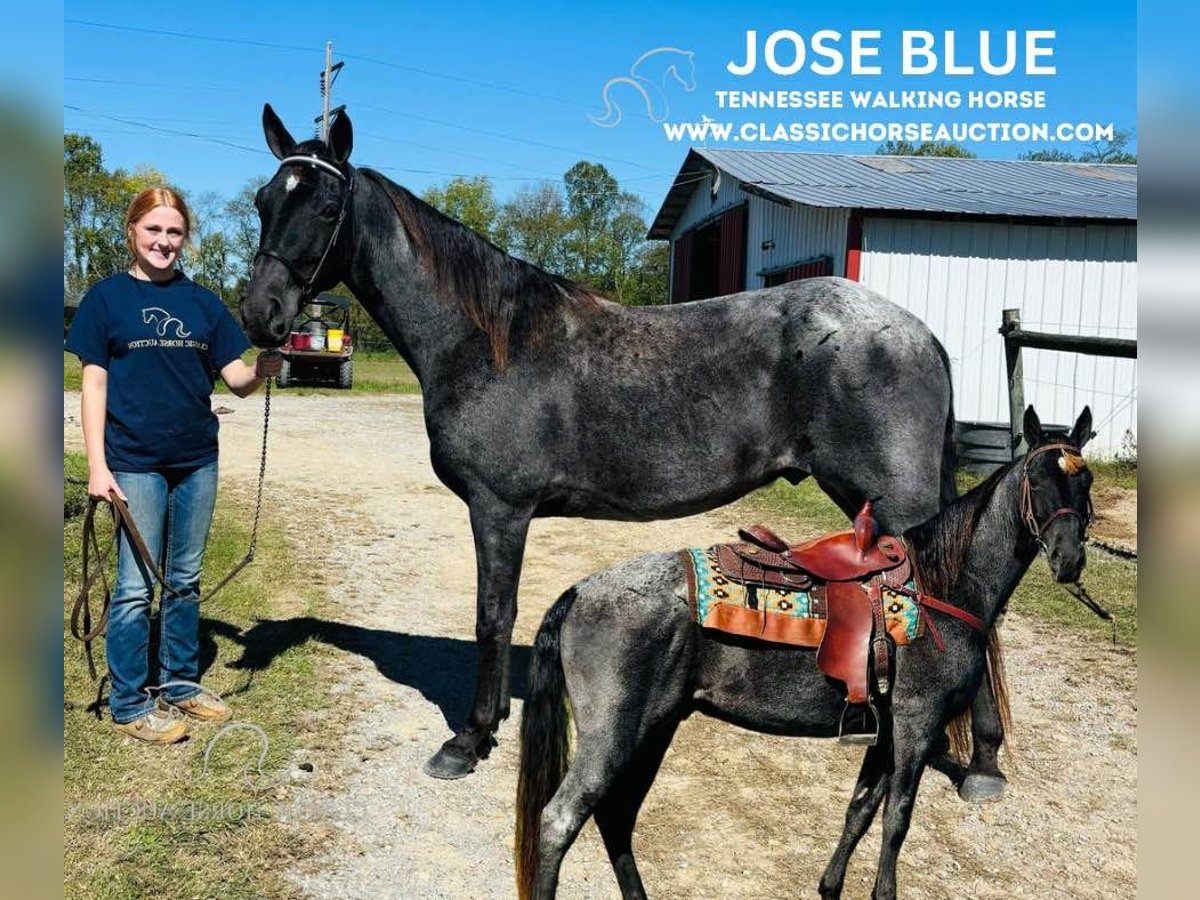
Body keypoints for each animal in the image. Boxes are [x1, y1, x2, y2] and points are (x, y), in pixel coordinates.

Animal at [241, 102, 1003, 787]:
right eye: (262, 201)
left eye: (327, 206)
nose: (260, 314)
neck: (486, 341)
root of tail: (917, 331)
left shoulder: (499, 508)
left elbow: (493, 615)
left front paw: (470, 739)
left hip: (896, 503)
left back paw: (977, 761)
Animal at [516, 410, 1099, 900]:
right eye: (1037, 480)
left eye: (1085, 482)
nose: (1069, 559)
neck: (942, 589)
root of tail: (581, 592)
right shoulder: (917, 725)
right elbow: (897, 821)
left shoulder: (887, 732)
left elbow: (859, 811)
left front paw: (830, 887)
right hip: (613, 737)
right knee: (559, 821)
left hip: (653, 729)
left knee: (616, 818)